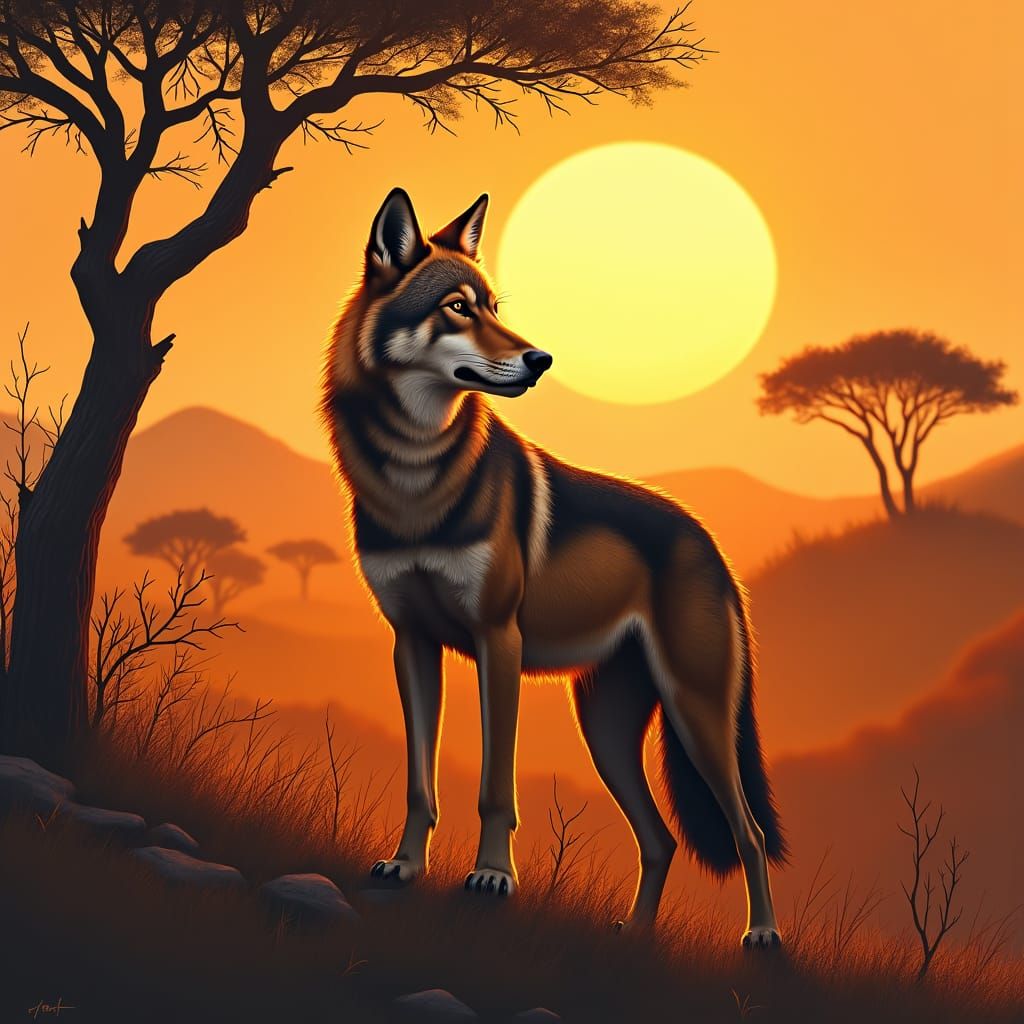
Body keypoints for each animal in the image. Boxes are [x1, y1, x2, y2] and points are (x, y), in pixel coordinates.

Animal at [321, 189, 787, 947]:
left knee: (746, 831)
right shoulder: (411, 643)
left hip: (697, 715)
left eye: (494, 307)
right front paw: (404, 866)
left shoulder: (498, 643)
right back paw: (634, 937)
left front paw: (491, 877)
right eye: (457, 307)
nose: (540, 358)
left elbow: (494, 787)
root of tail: (711, 545)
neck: (415, 477)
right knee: (661, 839)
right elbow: (421, 781)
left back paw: (765, 938)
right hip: (606, 731)